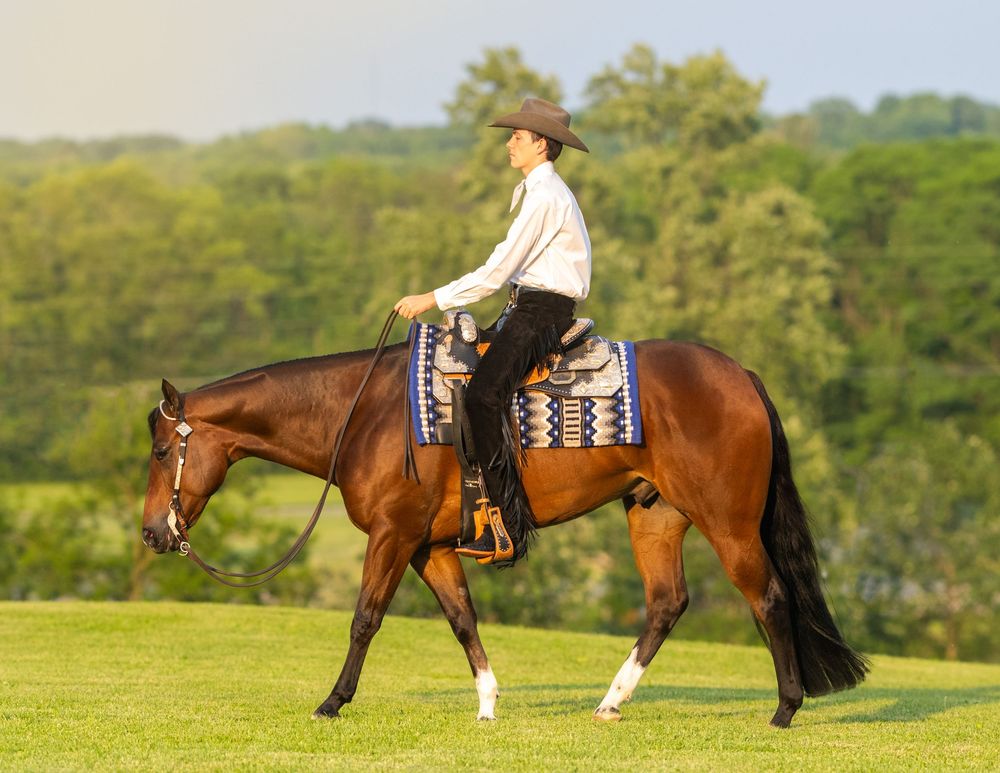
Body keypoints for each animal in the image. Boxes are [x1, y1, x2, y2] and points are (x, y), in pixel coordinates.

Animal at [141, 334, 869, 727]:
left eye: (159, 451)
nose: (152, 533)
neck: (364, 412)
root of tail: (740, 374)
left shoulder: (391, 536)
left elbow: (365, 618)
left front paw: (332, 701)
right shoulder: (429, 548)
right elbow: (463, 619)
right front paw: (489, 703)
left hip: (729, 522)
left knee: (769, 597)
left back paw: (785, 708)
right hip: (655, 513)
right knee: (668, 603)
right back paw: (610, 702)